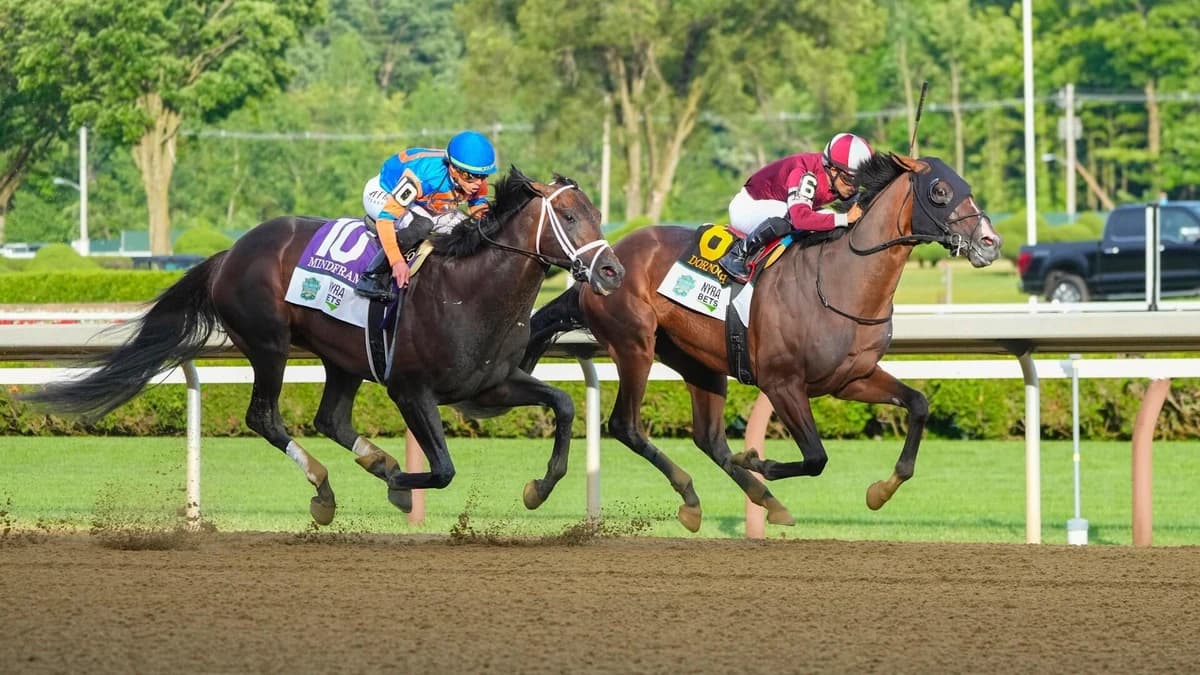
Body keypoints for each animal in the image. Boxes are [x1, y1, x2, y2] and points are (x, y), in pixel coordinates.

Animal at [22, 166, 625, 525]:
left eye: (598, 215)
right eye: (569, 215)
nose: (612, 271)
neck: (470, 288)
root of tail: (230, 252)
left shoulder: (490, 385)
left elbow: (564, 405)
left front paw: (538, 488)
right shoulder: (411, 389)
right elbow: (443, 469)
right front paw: (403, 484)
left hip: (342, 358)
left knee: (330, 418)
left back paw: (372, 462)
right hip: (268, 344)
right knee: (265, 417)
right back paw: (326, 487)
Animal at [522, 153, 1001, 532]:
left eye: (966, 187)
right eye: (939, 191)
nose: (990, 242)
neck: (841, 280)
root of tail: (600, 263)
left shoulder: (853, 379)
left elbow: (918, 404)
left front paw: (880, 491)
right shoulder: (782, 382)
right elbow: (816, 458)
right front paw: (757, 460)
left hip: (699, 361)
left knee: (709, 439)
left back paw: (747, 500)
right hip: (634, 345)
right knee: (625, 425)